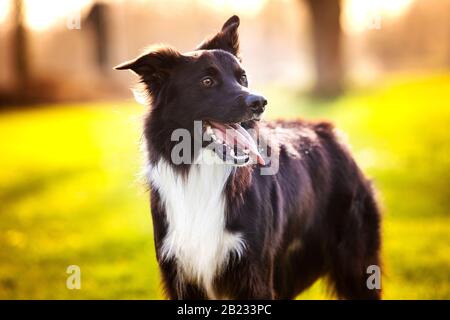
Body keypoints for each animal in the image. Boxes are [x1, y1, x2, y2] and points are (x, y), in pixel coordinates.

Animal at [114, 15, 382, 300]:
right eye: (207, 81)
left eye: (242, 78)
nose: (260, 102)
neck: (202, 170)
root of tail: (328, 131)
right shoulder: (180, 272)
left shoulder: (256, 273)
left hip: (356, 267)